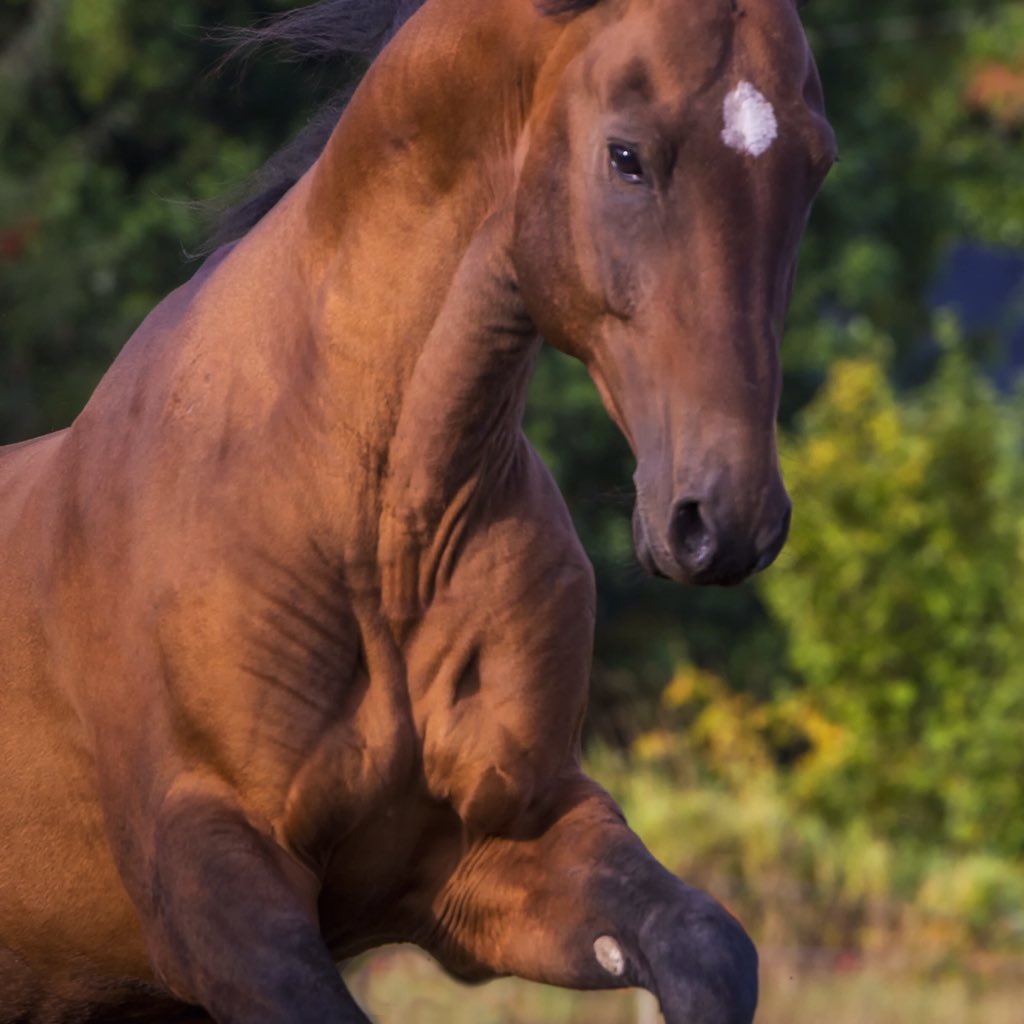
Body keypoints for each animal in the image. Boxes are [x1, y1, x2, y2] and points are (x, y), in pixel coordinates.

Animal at [0, 1, 834, 1020]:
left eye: (814, 163)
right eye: (627, 156)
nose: (723, 517)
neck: (373, 533)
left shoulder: (499, 843)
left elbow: (707, 945)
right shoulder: (207, 880)